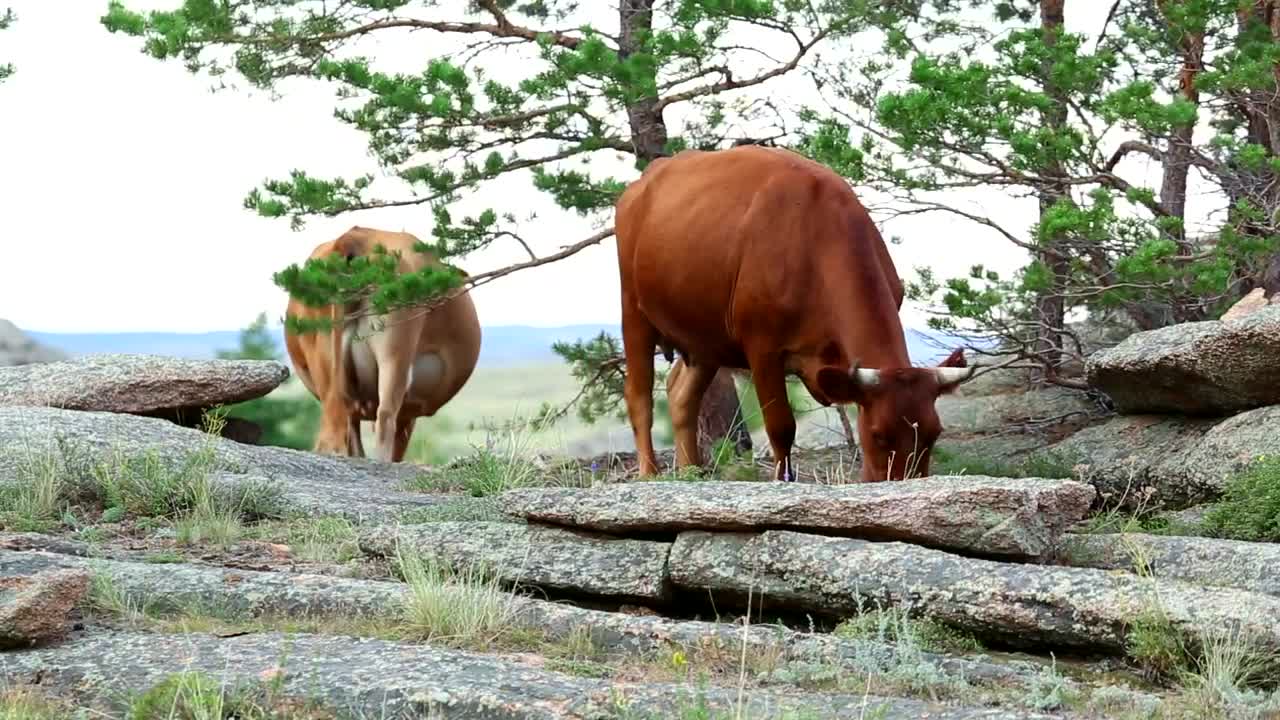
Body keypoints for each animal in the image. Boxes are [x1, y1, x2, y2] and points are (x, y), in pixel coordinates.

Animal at [284, 225, 481, 458]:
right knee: (385, 417)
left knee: (335, 432)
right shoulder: (408, 412)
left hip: (325, 363)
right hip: (395, 355)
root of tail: (354, 236)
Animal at [614, 144, 972, 481]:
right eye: (878, 434)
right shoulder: (762, 348)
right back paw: (650, 473)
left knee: (681, 397)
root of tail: (645, 181)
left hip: (706, 336)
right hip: (634, 311)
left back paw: (691, 471)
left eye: (933, 434)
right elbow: (781, 427)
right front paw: (783, 481)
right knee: (639, 397)